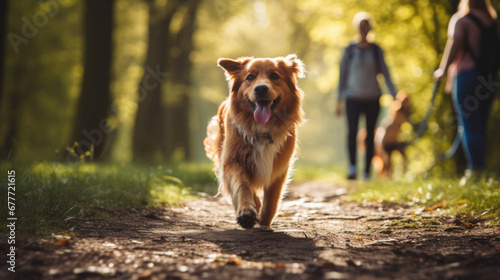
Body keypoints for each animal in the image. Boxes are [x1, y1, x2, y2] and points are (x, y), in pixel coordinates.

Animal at [203, 55, 304, 230]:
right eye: (250, 77)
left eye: (274, 76)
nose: (261, 88)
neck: (262, 129)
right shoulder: (232, 161)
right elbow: (243, 184)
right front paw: (247, 212)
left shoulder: (279, 168)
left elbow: (271, 200)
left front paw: (264, 223)